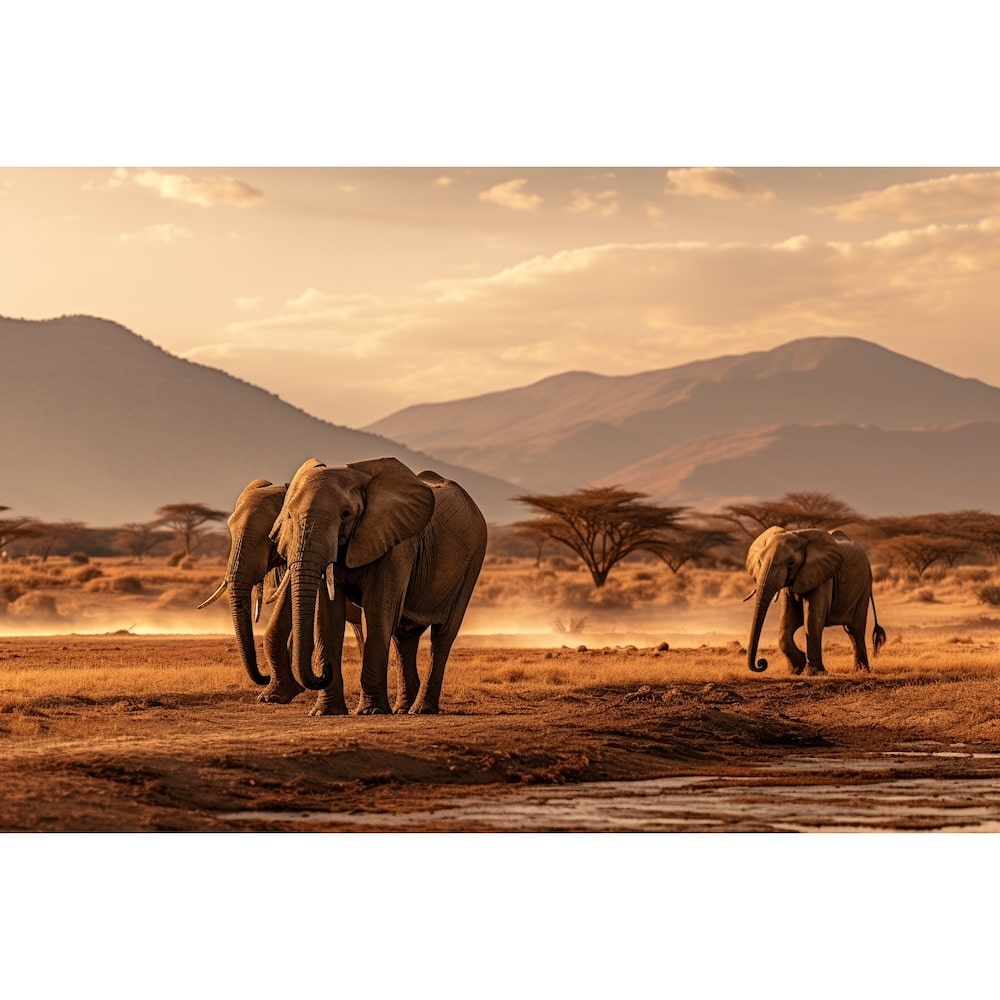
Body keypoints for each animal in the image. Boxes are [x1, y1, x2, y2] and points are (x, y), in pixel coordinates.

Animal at [269, 456, 488, 715]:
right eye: (289, 516)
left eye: (346, 514)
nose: (324, 671)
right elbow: (327, 617)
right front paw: (325, 712)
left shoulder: (396, 543)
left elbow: (377, 610)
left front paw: (370, 711)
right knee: (404, 638)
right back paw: (403, 709)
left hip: (472, 560)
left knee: (442, 635)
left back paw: (421, 709)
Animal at [745, 526, 886, 675]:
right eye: (759, 562)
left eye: (790, 563)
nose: (762, 663)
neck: (798, 535)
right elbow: (786, 622)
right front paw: (797, 668)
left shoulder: (823, 577)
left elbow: (812, 619)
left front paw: (813, 672)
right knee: (851, 631)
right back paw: (860, 670)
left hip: (865, 584)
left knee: (855, 628)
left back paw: (863, 671)